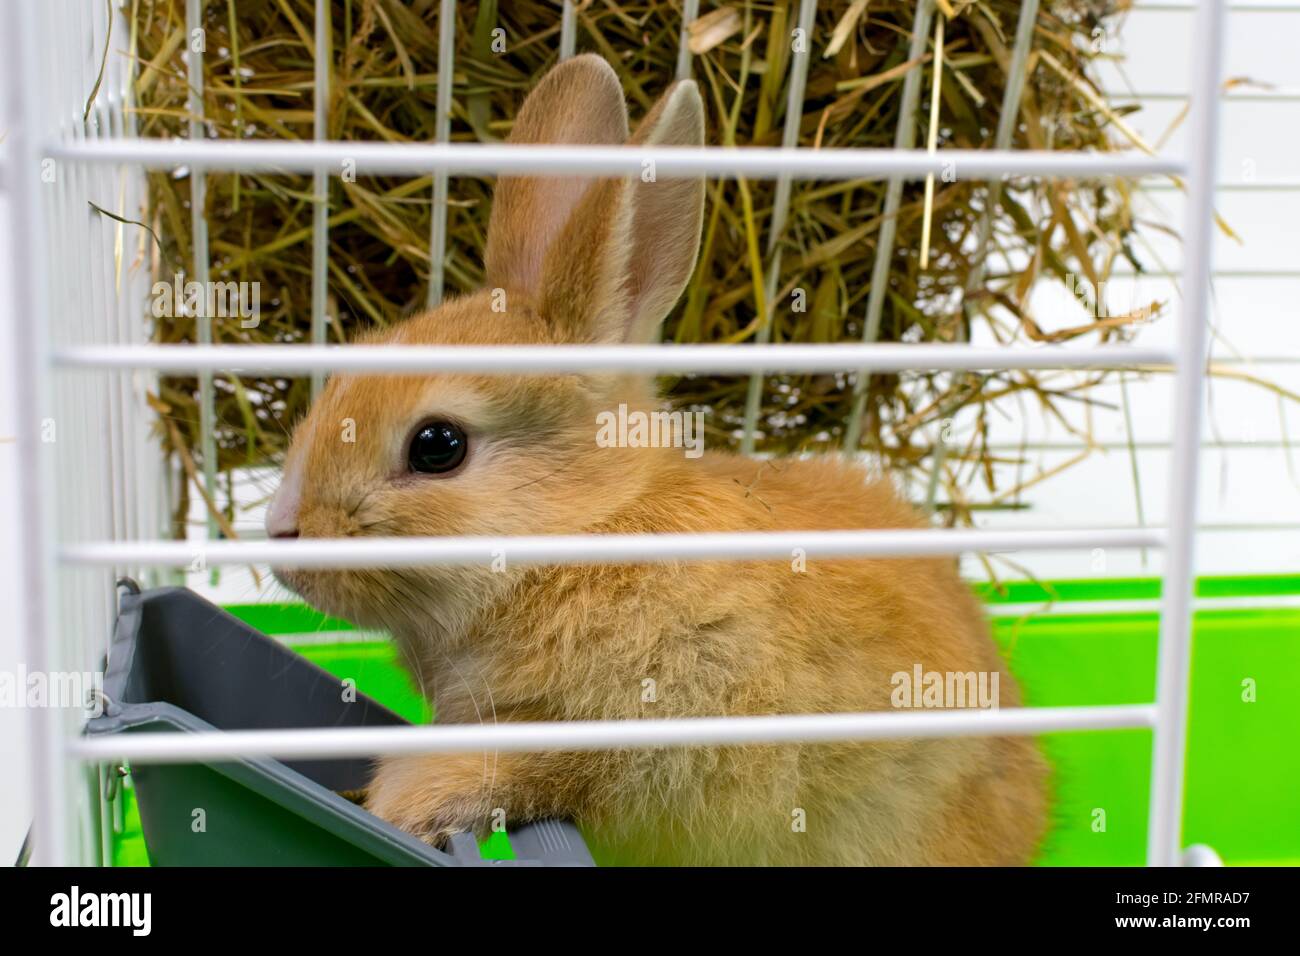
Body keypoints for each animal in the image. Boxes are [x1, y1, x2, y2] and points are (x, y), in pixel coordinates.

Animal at [265, 53, 1048, 866]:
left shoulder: (630, 733)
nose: (283, 534)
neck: (591, 527)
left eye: (437, 445)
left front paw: (409, 799)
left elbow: (527, 768)